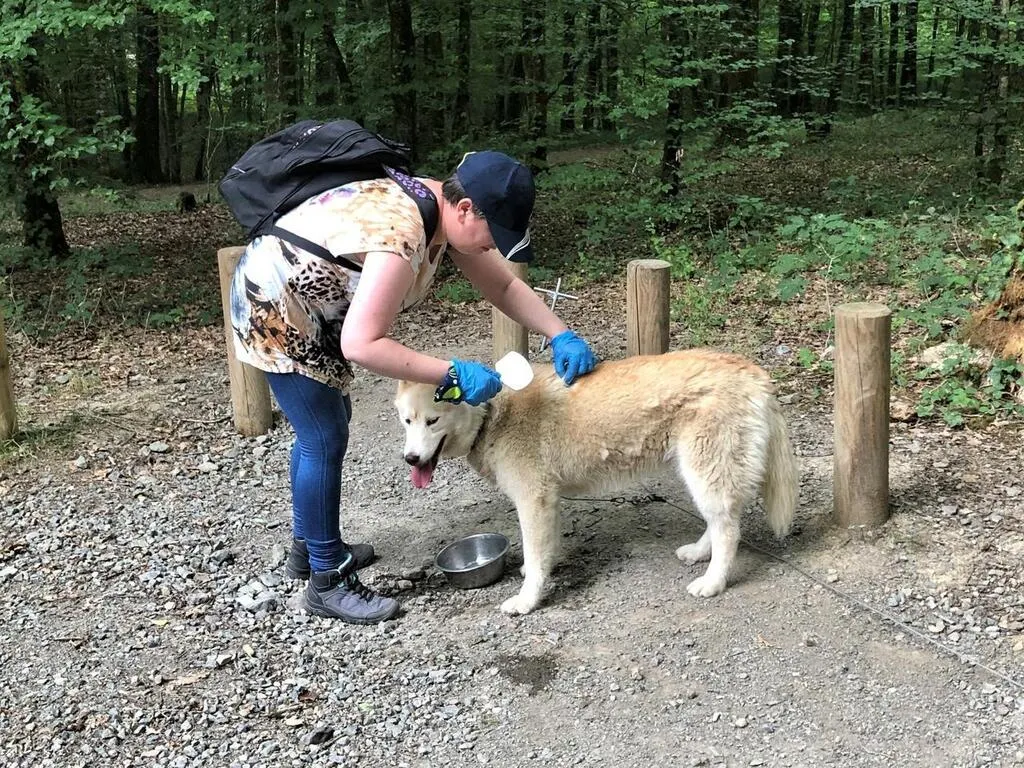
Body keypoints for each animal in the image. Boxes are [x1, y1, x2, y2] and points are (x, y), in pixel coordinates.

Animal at [396, 350, 798, 615]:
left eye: (432, 421)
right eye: (407, 421)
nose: (411, 459)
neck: (492, 413)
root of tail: (753, 373)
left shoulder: (533, 499)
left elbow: (535, 556)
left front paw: (527, 600)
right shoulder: (548, 500)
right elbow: (544, 549)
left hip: (705, 471)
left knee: (728, 528)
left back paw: (713, 581)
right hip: (699, 473)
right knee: (720, 522)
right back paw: (700, 552)